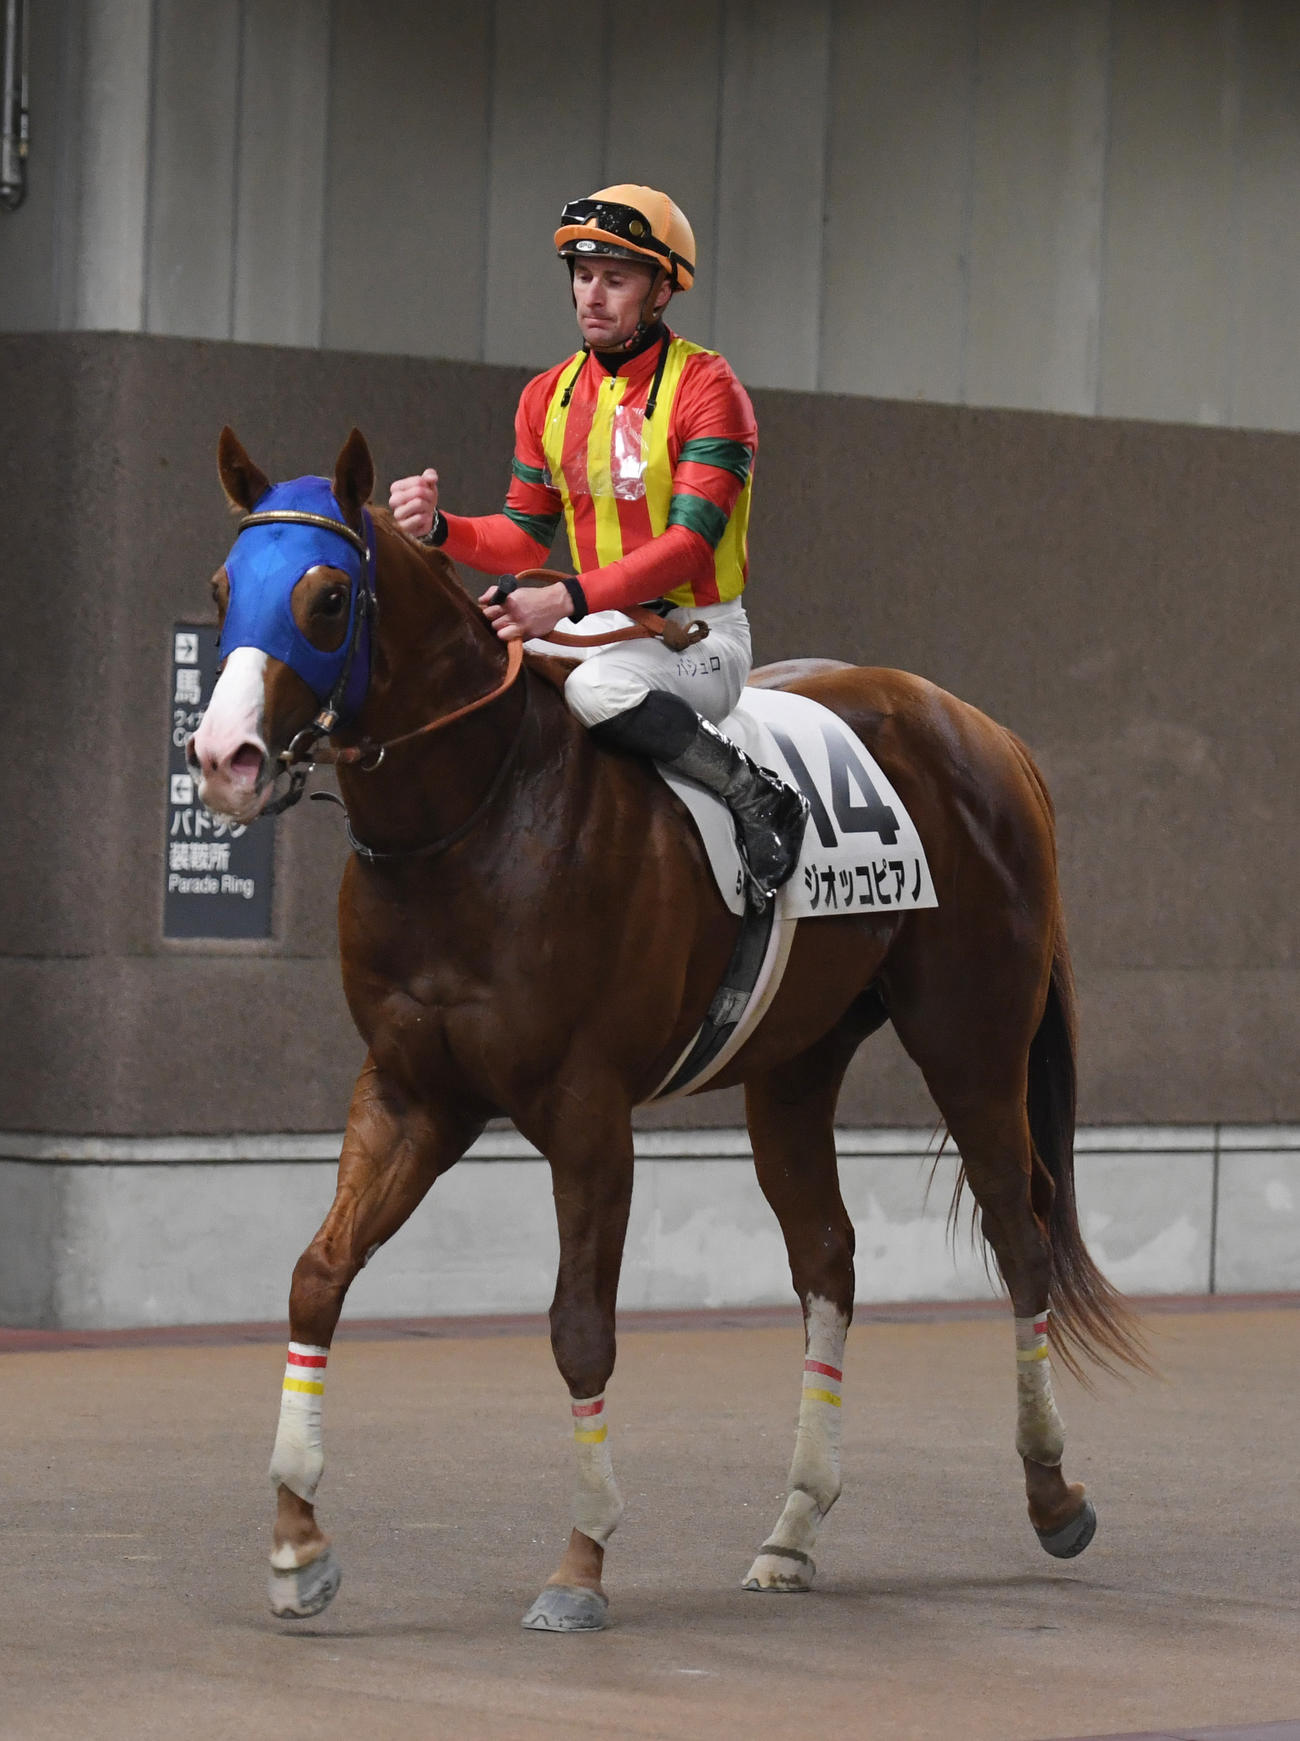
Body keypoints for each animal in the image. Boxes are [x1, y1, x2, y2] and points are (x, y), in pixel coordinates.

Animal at [190, 426, 1144, 1633]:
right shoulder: (413, 1091)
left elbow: (578, 1326)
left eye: (323, 598)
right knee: (827, 1257)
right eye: (222, 591)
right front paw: (297, 1540)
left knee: (1019, 1235)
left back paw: (1053, 1494)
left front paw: (581, 1561)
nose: (224, 757)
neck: (481, 815)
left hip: (971, 1038)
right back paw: (793, 1529)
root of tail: (982, 729)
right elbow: (318, 1273)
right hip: (795, 1067)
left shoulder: (587, 1108)